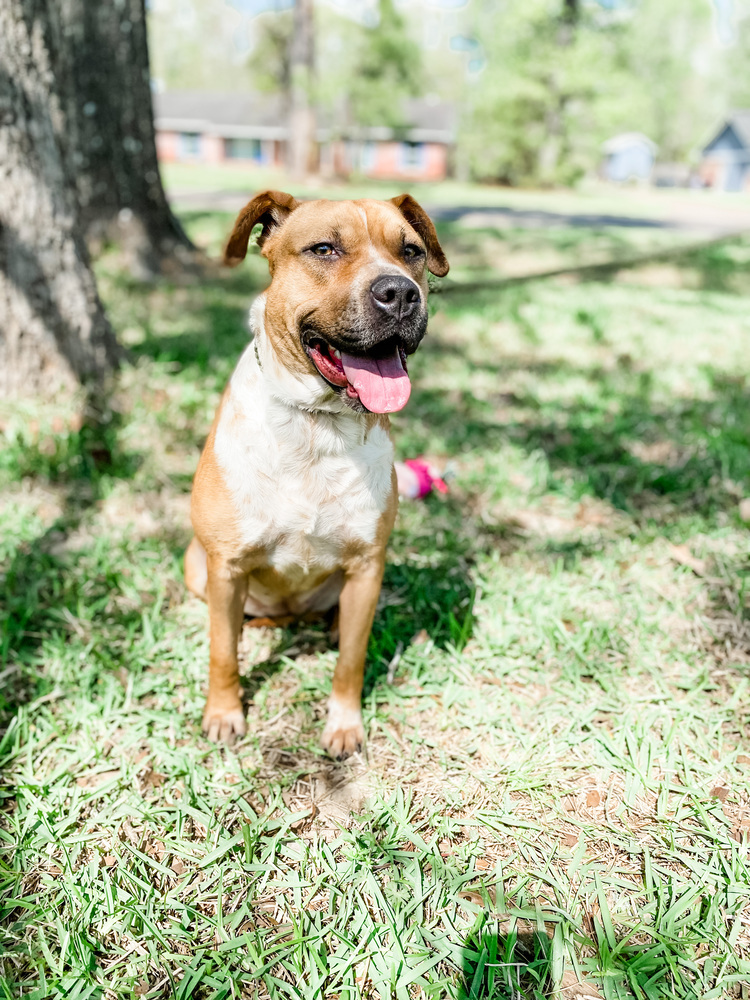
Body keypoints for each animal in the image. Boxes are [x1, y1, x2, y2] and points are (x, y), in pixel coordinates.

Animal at [184, 189, 450, 756]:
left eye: (412, 251)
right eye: (324, 249)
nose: (400, 293)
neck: (317, 423)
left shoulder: (368, 566)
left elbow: (352, 658)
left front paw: (345, 725)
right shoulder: (226, 566)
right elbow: (222, 652)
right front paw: (224, 713)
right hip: (197, 566)